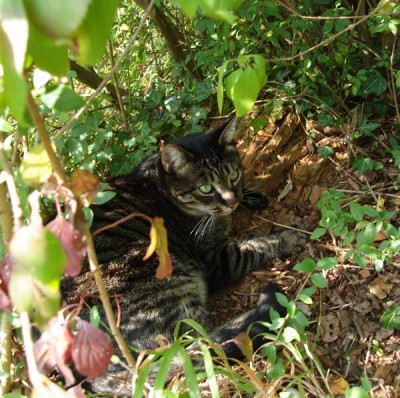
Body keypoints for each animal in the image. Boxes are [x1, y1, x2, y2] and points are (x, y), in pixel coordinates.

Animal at [61, 116, 306, 394]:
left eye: (234, 174)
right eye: (205, 188)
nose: (231, 201)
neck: (159, 185)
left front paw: (250, 196)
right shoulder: (220, 260)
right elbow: (256, 245)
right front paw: (288, 239)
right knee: (206, 344)